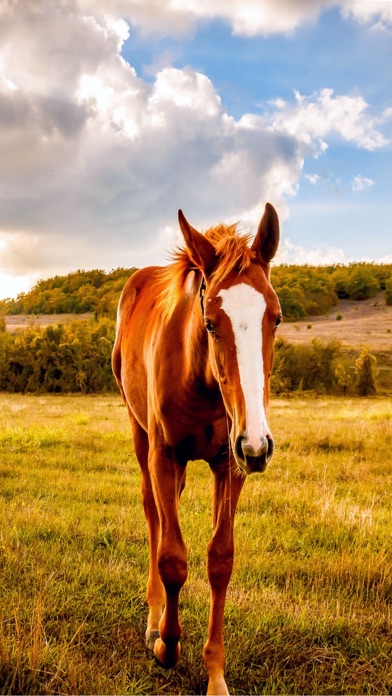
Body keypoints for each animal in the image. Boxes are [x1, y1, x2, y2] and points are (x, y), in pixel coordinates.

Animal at [113, 203, 282, 696]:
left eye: (276, 317)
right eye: (210, 321)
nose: (259, 444)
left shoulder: (231, 463)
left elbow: (220, 560)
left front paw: (215, 674)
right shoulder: (165, 456)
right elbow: (172, 558)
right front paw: (167, 645)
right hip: (141, 438)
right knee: (153, 515)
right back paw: (154, 618)